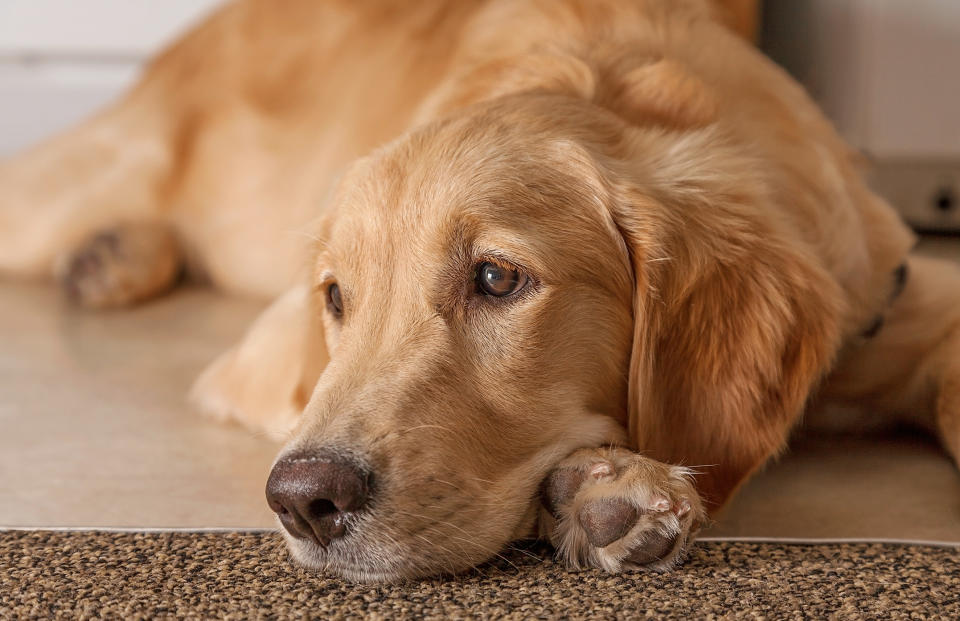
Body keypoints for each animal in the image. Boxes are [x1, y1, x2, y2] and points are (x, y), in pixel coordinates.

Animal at [1, 0, 960, 580]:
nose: (304, 500)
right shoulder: (267, 356)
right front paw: (605, 484)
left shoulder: (895, 292)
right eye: (336, 297)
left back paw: (113, 255)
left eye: (497, 278)